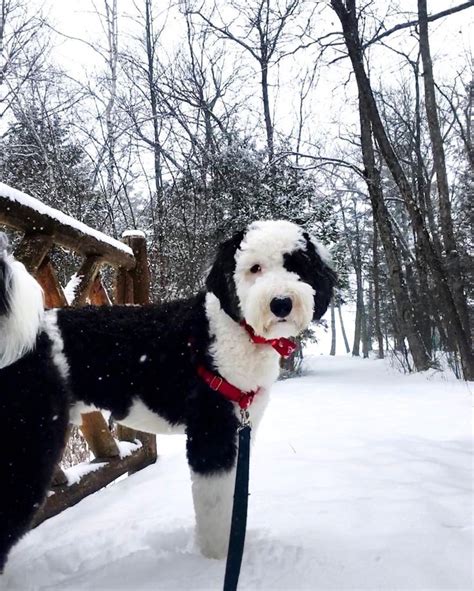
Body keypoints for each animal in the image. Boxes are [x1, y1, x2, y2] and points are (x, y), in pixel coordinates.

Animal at [0, 220, 336, 572]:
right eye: (255, 268)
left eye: (296, 265)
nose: (281, 303)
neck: (233, 330)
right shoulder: (211, 436)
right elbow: (215, 506)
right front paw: (217, 560)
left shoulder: (239, 431)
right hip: (26, 445)